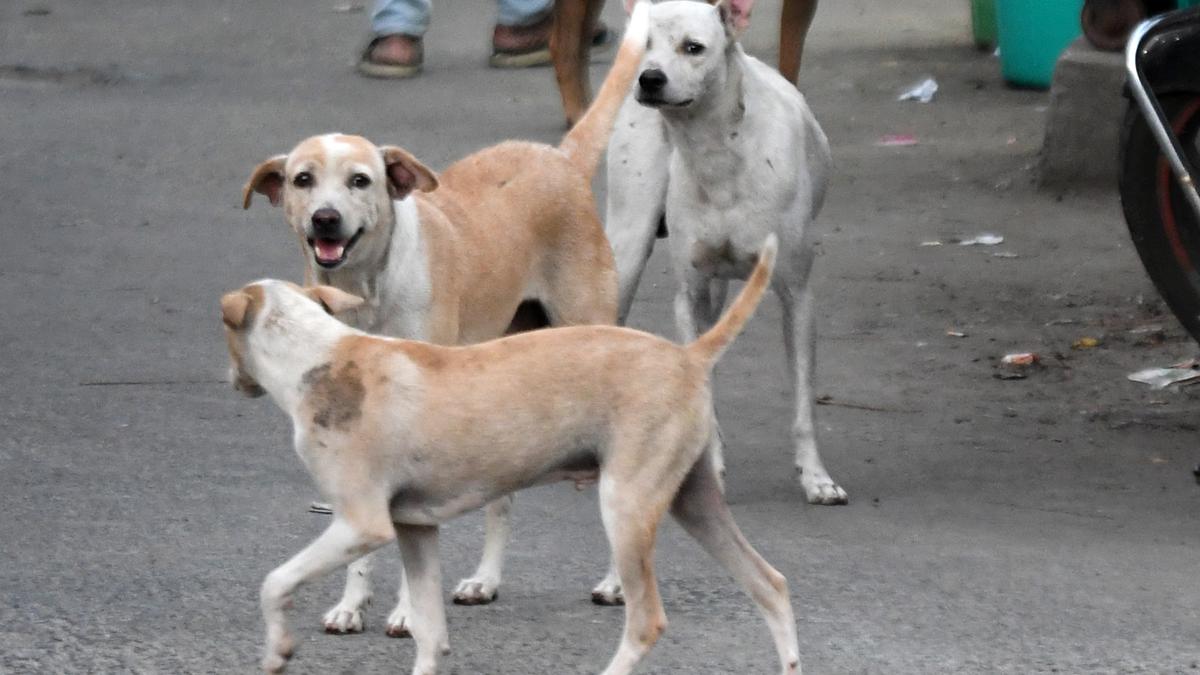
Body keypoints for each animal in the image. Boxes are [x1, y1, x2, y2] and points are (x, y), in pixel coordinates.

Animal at [225, 234, 806, 667]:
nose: (234, 383)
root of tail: (689, 356)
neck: (319, 357)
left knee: (646, 623)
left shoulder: (360, 526)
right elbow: (430, 636)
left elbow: (274, 583)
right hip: (695, 503)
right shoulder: (416, 530)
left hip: (627, 507)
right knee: (772, 586)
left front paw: (278, 649)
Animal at [238, 2, 652, 634]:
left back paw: (613, 584)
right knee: (503, 497)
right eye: (302, 179)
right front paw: (351, 605)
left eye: (360, 179)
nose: (325, 219)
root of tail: (559, 156)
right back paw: (486, 580)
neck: (368, 291)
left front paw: (408, 614)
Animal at [604, 0, 849, 504]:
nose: (649, 78)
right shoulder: (690, 296)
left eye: (693, 48)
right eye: (644, 45)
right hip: (628, 244)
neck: (716, 153)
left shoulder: (798, 296)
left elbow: (803, 402)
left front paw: (816, 478)